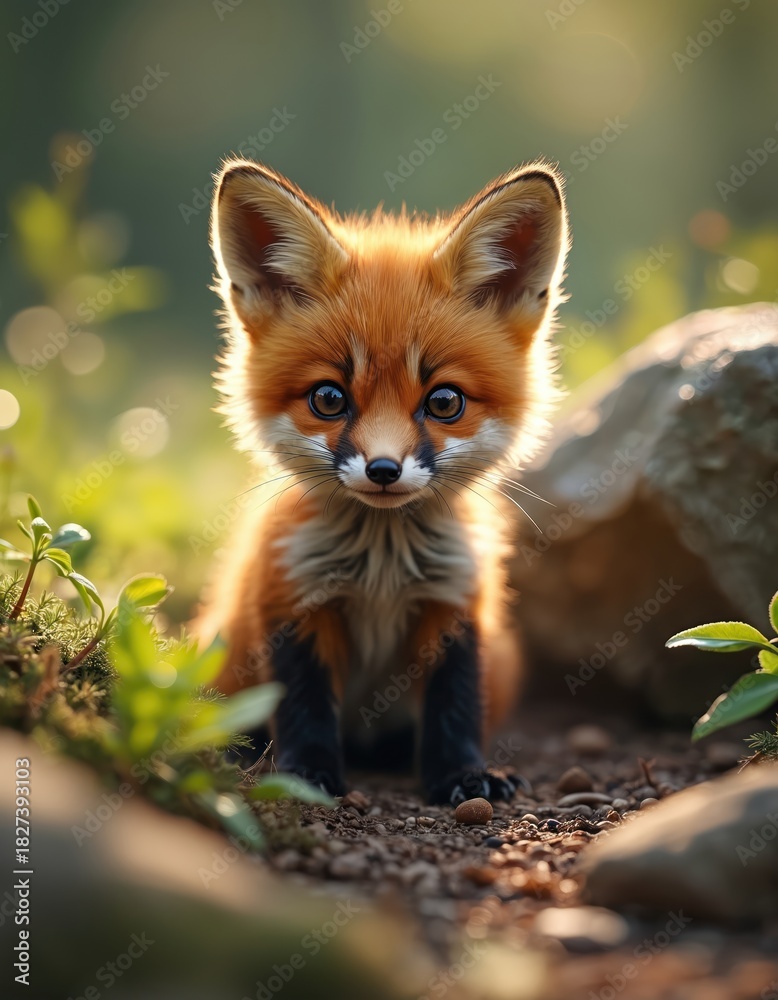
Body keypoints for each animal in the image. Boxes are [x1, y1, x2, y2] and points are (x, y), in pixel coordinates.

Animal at [199, 158, 569, 805]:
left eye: (444, 402)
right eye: (329, 399)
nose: (383, 470)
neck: (382, 567)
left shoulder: (455, 603)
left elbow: (455, 706)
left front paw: (462, 777)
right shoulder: (293, 601)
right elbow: (302, 708)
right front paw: (305, 777)